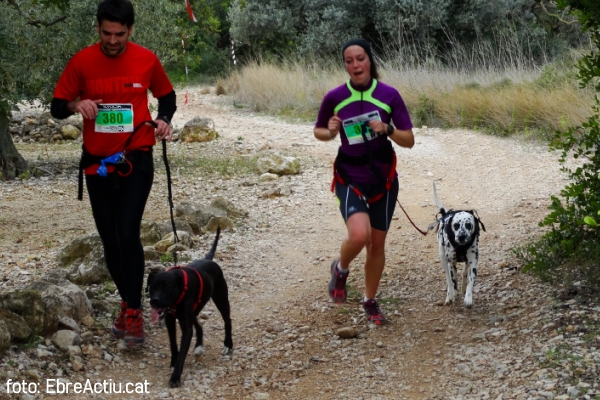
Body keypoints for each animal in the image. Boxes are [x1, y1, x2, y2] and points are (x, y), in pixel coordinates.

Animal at [146, 228, 233, 388]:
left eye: (166, 288)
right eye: (152, 288)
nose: (154, 301)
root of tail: (209, 259)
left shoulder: (185, 327)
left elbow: (182, 352)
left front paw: (175, 377)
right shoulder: (170, 321)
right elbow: (173, 343)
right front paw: (173, 361)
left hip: (221, 298)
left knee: (227, 320)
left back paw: (228, 344)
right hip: (194, 310)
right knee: (198, 325)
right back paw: (198, 346)